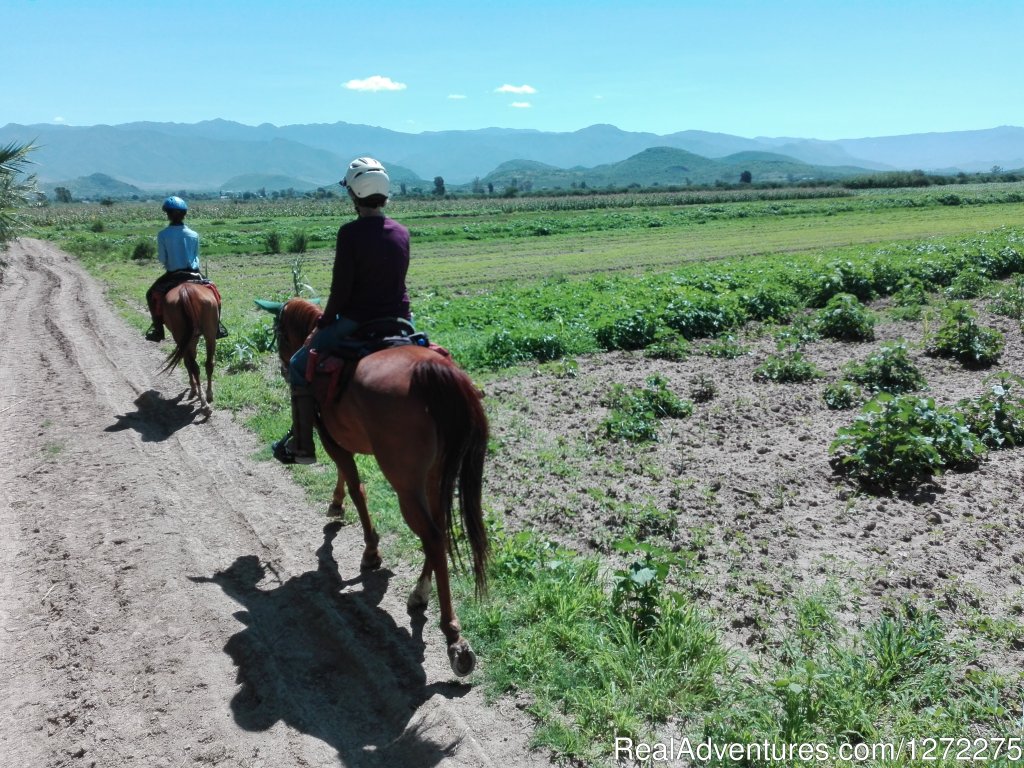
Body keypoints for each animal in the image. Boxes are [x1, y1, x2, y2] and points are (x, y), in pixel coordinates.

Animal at [160, 280, 219, 415]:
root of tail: (185, 291)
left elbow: (187, 363)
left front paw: (193, 389)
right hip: (209, 334)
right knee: (207, 364)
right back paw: (207, 397)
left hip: (183, 337)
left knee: (193, 366)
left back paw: (203, 402)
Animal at [260, 296, 491, 675]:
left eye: (278, 333)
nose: (282, 366)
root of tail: (432, 373)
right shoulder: (342, 437)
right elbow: (347, 478)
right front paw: (336, 504)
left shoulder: (329, 438)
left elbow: (357, 487)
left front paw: (370, 551)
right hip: (434, 474)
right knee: (438, 530)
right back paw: (419, 594)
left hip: (406, 482)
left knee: (431, 536)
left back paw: (453, 636)